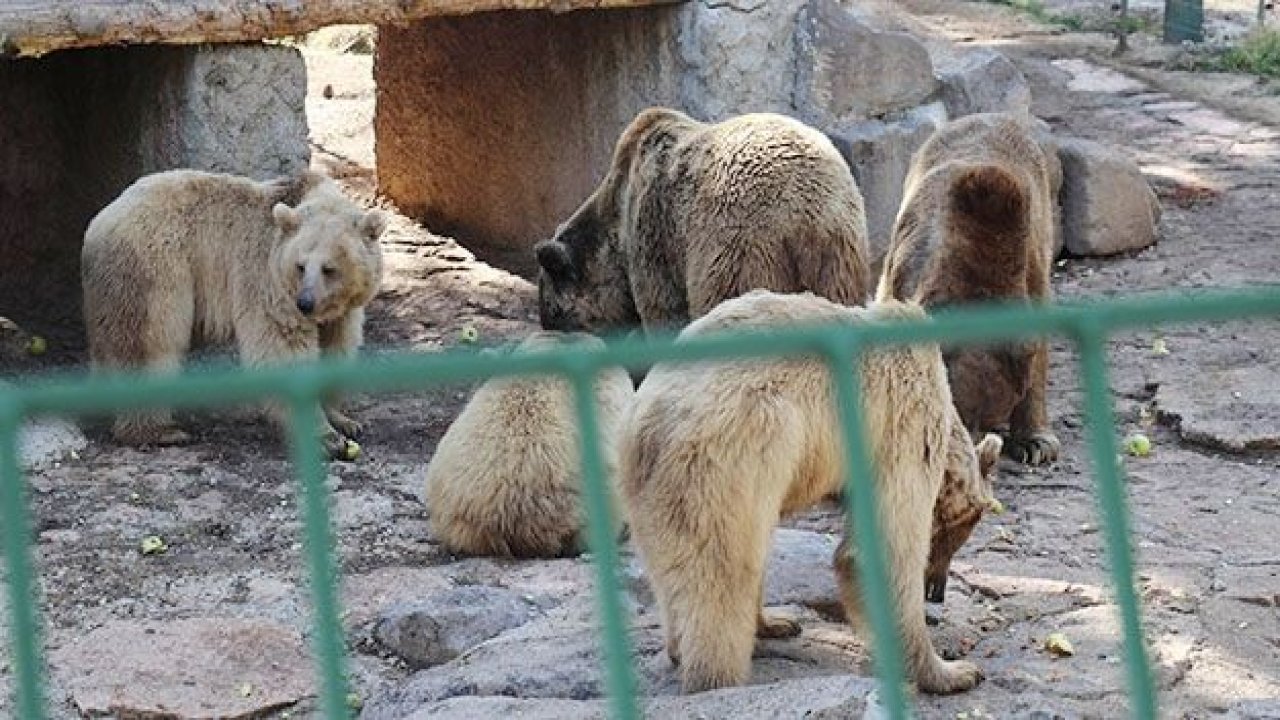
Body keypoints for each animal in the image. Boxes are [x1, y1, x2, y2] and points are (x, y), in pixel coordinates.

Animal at [83, 166, 384, 453]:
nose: (305, 303)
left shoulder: (342, 311)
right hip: (155, 267)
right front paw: (326, 438)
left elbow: (337, 346)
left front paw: (345, 420)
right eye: (300, 266)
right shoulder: (268, 276)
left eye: (329, 269)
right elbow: (283, 348)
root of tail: (100, 220)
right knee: (152, 342)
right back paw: (160, 431)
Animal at [529, 108, 870, 335]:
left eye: (554, 314)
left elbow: (665, 308)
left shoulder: (654, 227)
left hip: (741, 245)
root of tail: (803, 218)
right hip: (838, 257)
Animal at [619, 288, 988, 691]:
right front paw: (953, 671)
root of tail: (648, 424)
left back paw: (753, 627)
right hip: (728, 460)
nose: (937, 592)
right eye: (950, 541)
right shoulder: (902, 420)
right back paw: (717, 675)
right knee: (722, 576)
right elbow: (886, 547)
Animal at [880, 109, 1059, 461]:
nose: (975, 450)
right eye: (955, 416)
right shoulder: (906, 268)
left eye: (985, 419)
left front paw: (1036, 443)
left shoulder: (1032, 272)